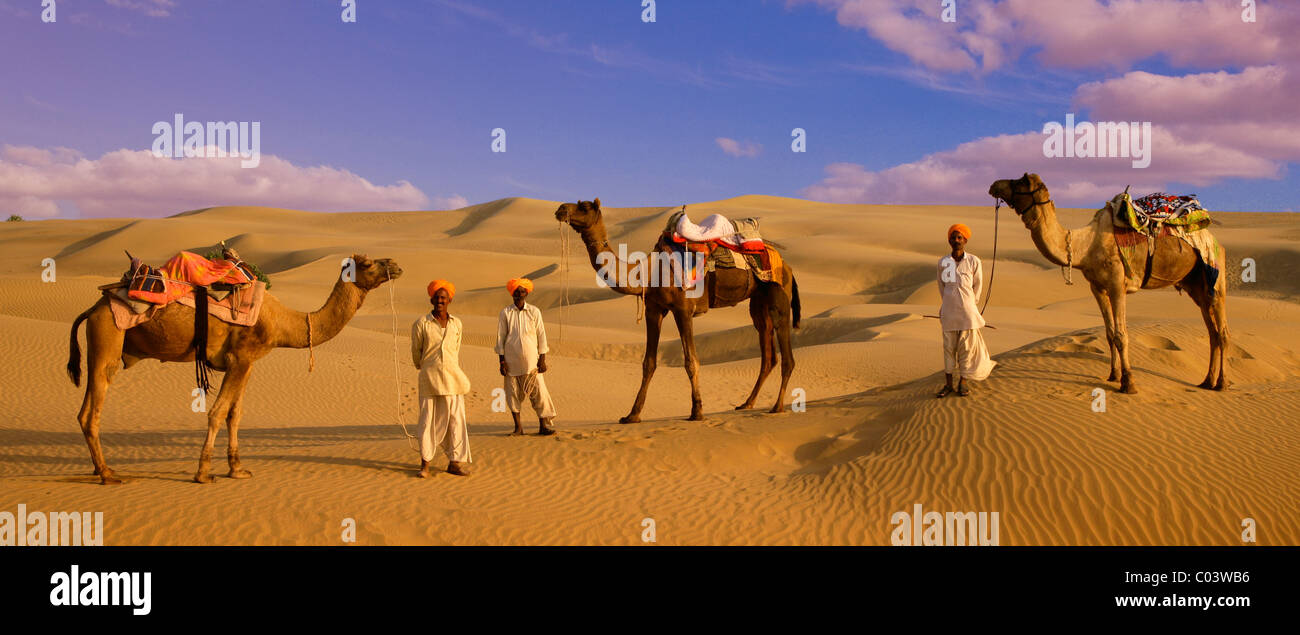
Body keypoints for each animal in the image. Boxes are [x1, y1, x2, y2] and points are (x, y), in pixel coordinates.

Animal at [64, 252, 400, 481]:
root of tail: (92, 309)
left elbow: (234, 415)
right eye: (367, 264)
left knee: (83, 411)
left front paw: (237, 468)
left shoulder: (247, 363)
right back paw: (108, 474)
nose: (395, 264)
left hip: (99, 347)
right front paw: (203, 473)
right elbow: (216, 412)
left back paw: (100, 469)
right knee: (92, 411)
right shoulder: (240, 358)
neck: (283, 321)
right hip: (107, 341)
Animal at [987, 173, 1222, 392]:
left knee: (1223, 332)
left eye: (1020, 181)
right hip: (1197, 287)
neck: (1085, 246)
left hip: (1215, 276)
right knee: (1213, 332)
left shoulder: (1117, 285)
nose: (994, 185)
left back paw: (1222, 383)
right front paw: (1113, 375)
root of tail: (1213, 239)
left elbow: (1121, 335)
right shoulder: (1098, 288)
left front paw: (1128, 383)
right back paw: (1207, 381)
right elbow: (1109, 334)